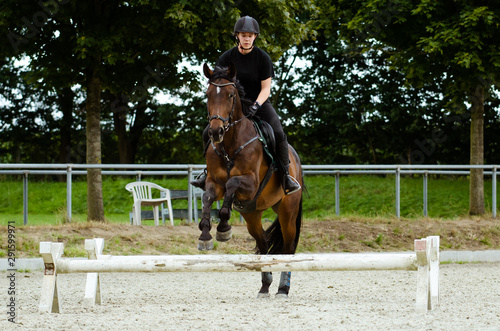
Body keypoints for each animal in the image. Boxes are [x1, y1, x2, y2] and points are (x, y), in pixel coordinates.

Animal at [197, 62, 302, 298]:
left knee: (288, 248)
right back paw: (265, 286)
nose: (215, 131)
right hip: (253, 214)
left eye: (230, 95)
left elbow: (232, 184)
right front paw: (206, 234)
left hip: (287, 211)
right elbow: (208, 197)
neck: (229, 143)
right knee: (263, 244)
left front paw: (223, 227)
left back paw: (283, 289)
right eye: (208, 95)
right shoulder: (213, 182)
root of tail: (296, 160)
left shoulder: (251, 184)